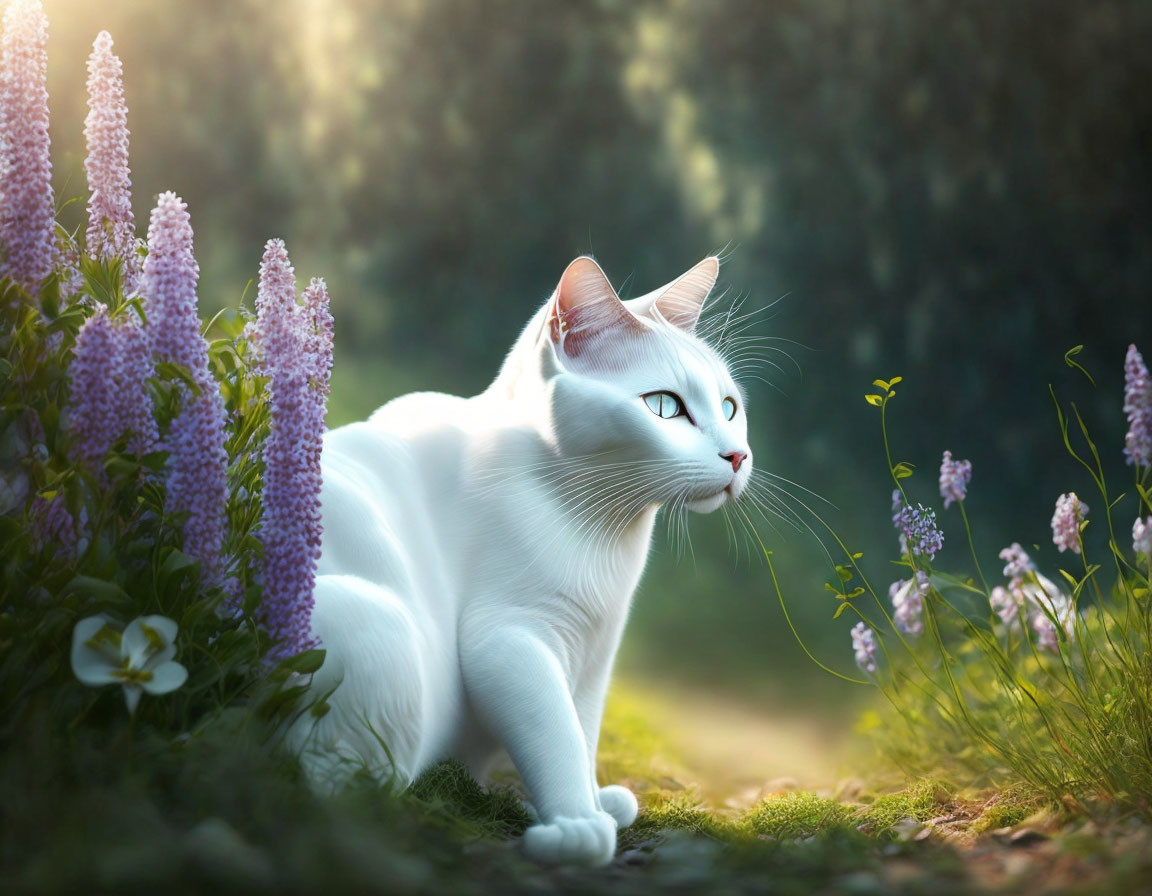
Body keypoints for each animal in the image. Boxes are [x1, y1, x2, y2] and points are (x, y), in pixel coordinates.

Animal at [292, 254, 751, 861]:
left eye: (729, 407)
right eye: (663, 407)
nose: (738, 455)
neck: (602, 533)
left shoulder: (596, 654)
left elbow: (582, 728)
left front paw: (587, 800)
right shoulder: (510, 638)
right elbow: (554, 731)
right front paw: (575, 823)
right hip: (384, 634)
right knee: (324, 792)